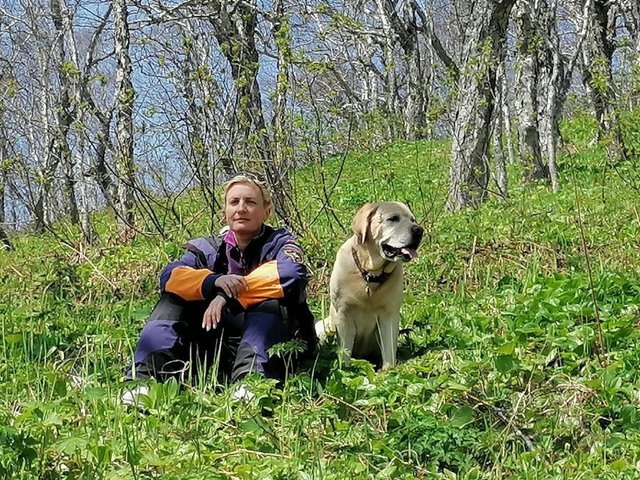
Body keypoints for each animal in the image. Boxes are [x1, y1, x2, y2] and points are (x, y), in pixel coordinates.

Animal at [316, 202, 424, 368]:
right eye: (393, 218)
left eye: (413, 220)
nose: (419, 230)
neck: (370, 277)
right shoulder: (343, 314)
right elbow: (344, 352)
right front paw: (344, 370)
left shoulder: (389, 315)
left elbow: (389, 350)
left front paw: (388, 371)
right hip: (321, 327)